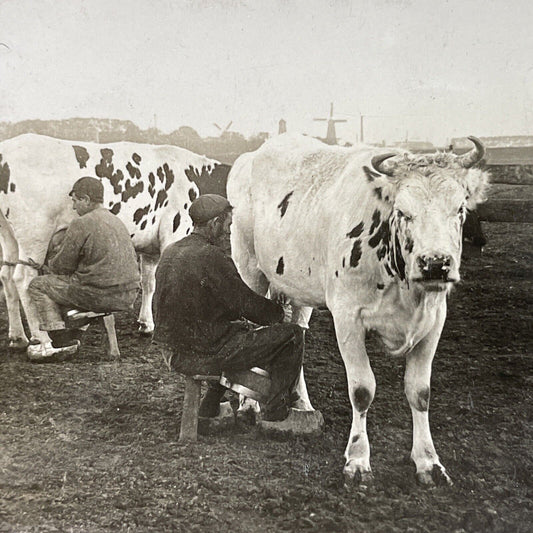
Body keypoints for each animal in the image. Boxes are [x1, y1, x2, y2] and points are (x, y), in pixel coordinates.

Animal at [0, 133, 230, 350]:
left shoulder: (151, 248)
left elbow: (149, 282)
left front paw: (146, 324)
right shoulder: (175, 232)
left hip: (8, 235)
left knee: (7, 275)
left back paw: (18, 338)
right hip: (35, 233)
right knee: (23, 278)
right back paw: (43, 340)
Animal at [227, 133, 488, 486]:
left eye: (459, 209)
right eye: (403, 212)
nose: (436, 264)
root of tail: (252, 155)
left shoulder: (434, 321)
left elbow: (420, 392)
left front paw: (428, 462)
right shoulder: (347, 317)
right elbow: (362, 390)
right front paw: (358, 461)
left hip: (297, 287)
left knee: (297, 331)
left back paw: (302, 404)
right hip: (249, 269)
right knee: (255, 326)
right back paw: (248, 407)